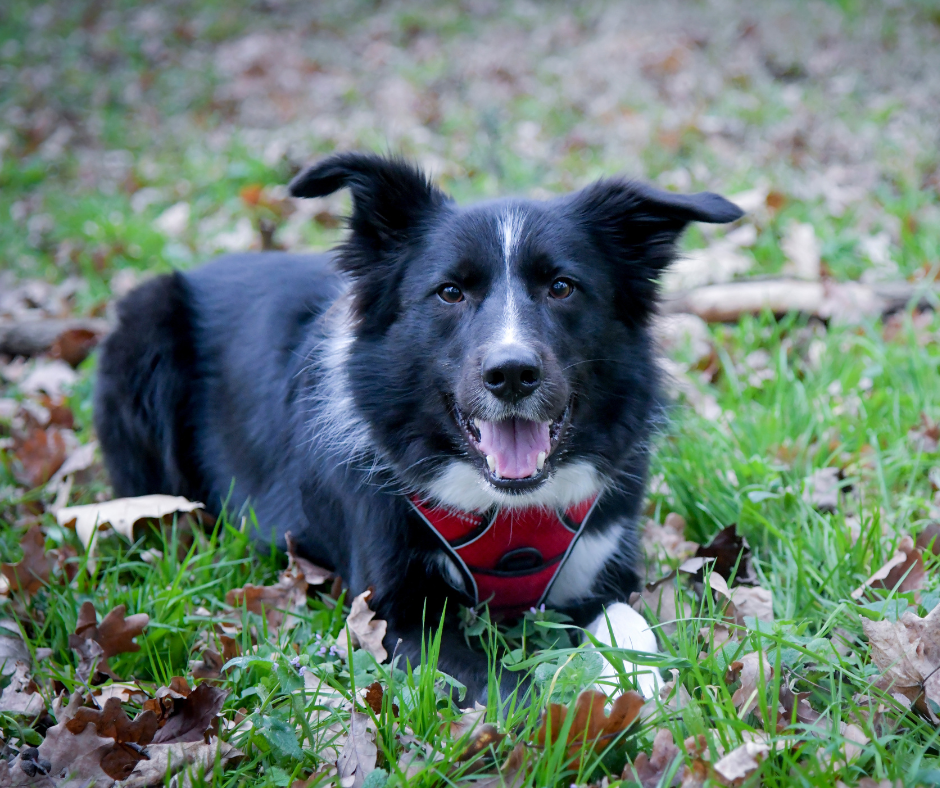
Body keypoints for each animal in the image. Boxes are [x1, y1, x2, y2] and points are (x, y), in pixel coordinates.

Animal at [95, 154, 740, 700]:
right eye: (450, 291)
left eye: (562, 286)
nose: (511, 374)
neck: (507, 513)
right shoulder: (392, 614)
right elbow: (506, 687)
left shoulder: (603, 563)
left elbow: (634, 630)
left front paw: (637, 692)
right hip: (144, 327)